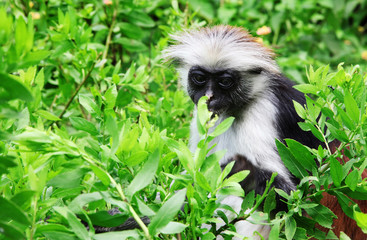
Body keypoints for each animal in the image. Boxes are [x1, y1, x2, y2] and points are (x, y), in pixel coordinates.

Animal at [165, 25, 367, 239]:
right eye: (199, 78)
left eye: (225, 81)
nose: (209, 97)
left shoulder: (262, 112)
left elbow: (290, 201)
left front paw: (250, 176)